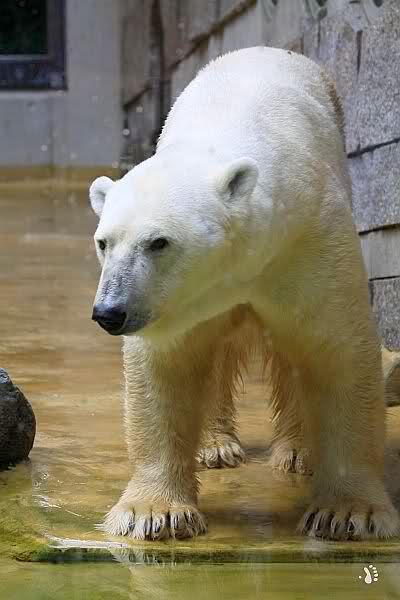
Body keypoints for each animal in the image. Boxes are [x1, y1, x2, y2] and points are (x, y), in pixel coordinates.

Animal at [89, 46, 400, 541]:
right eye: (104, 242)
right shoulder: (179, 304)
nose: (109, 312)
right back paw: (215, 447)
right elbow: (166, 367)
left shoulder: (308, 242)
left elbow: (338, 352)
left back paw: (299, 452)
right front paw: (154, 512)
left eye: (159, 242)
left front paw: (350, 513)